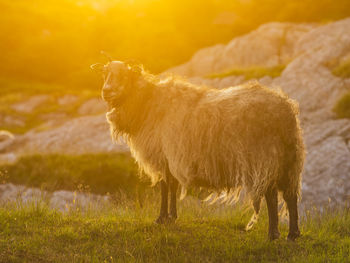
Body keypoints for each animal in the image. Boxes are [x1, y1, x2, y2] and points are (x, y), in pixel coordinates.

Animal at [91, 61, 304, 241]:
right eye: (104, 73)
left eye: (123, 75)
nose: (106, 91)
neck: (148, 103)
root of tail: (285, 109)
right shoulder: (171, 157)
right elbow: (173, 186)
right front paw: (172, 216)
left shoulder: (164, 155)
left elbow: (165, 187)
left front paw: (162, 218)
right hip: (288, 161)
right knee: (290, 196)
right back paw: (292, 234)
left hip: (265, 159)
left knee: (271, 196)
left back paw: (272, 234)